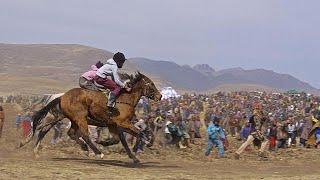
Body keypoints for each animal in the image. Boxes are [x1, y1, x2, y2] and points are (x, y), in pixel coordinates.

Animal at [30, 71, 161, 163]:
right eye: (151, 84)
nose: (160, 96)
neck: (125, 99)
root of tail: (62, 96)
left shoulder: (116, 125)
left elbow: (122, 139)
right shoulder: (122, 123)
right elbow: (136, 134)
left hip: (68, 119)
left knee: (63, 132)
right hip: (78, 118)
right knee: (83, 134)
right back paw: (97, 152)